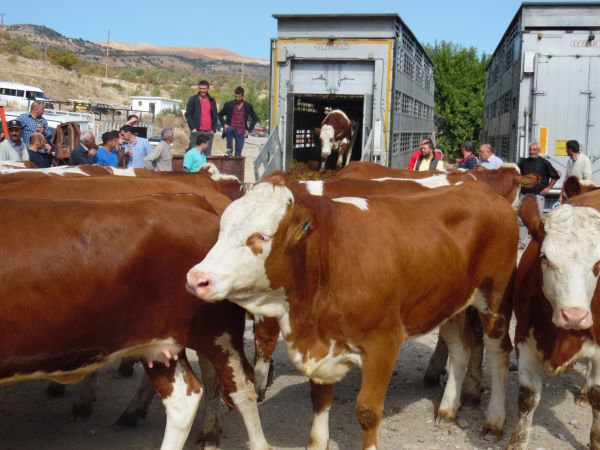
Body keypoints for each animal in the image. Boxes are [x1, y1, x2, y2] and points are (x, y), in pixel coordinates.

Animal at [186, 179, 516, 450]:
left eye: (262, 237)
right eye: (222, 229)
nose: (196, 278)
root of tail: (482, 190)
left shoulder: (384, 343)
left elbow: (368, 411)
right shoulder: (320, 349)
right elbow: (320, 403)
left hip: (494, 301)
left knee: (498, 353)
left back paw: (494, 421)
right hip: (448, 302)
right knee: (460, 349)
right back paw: (447, 409)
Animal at [508, 193, 600, 450]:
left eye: (599, 264)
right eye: (545, 257)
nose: (574, 315)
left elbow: (598, 396)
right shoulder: (523, 337)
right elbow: (527, 397)